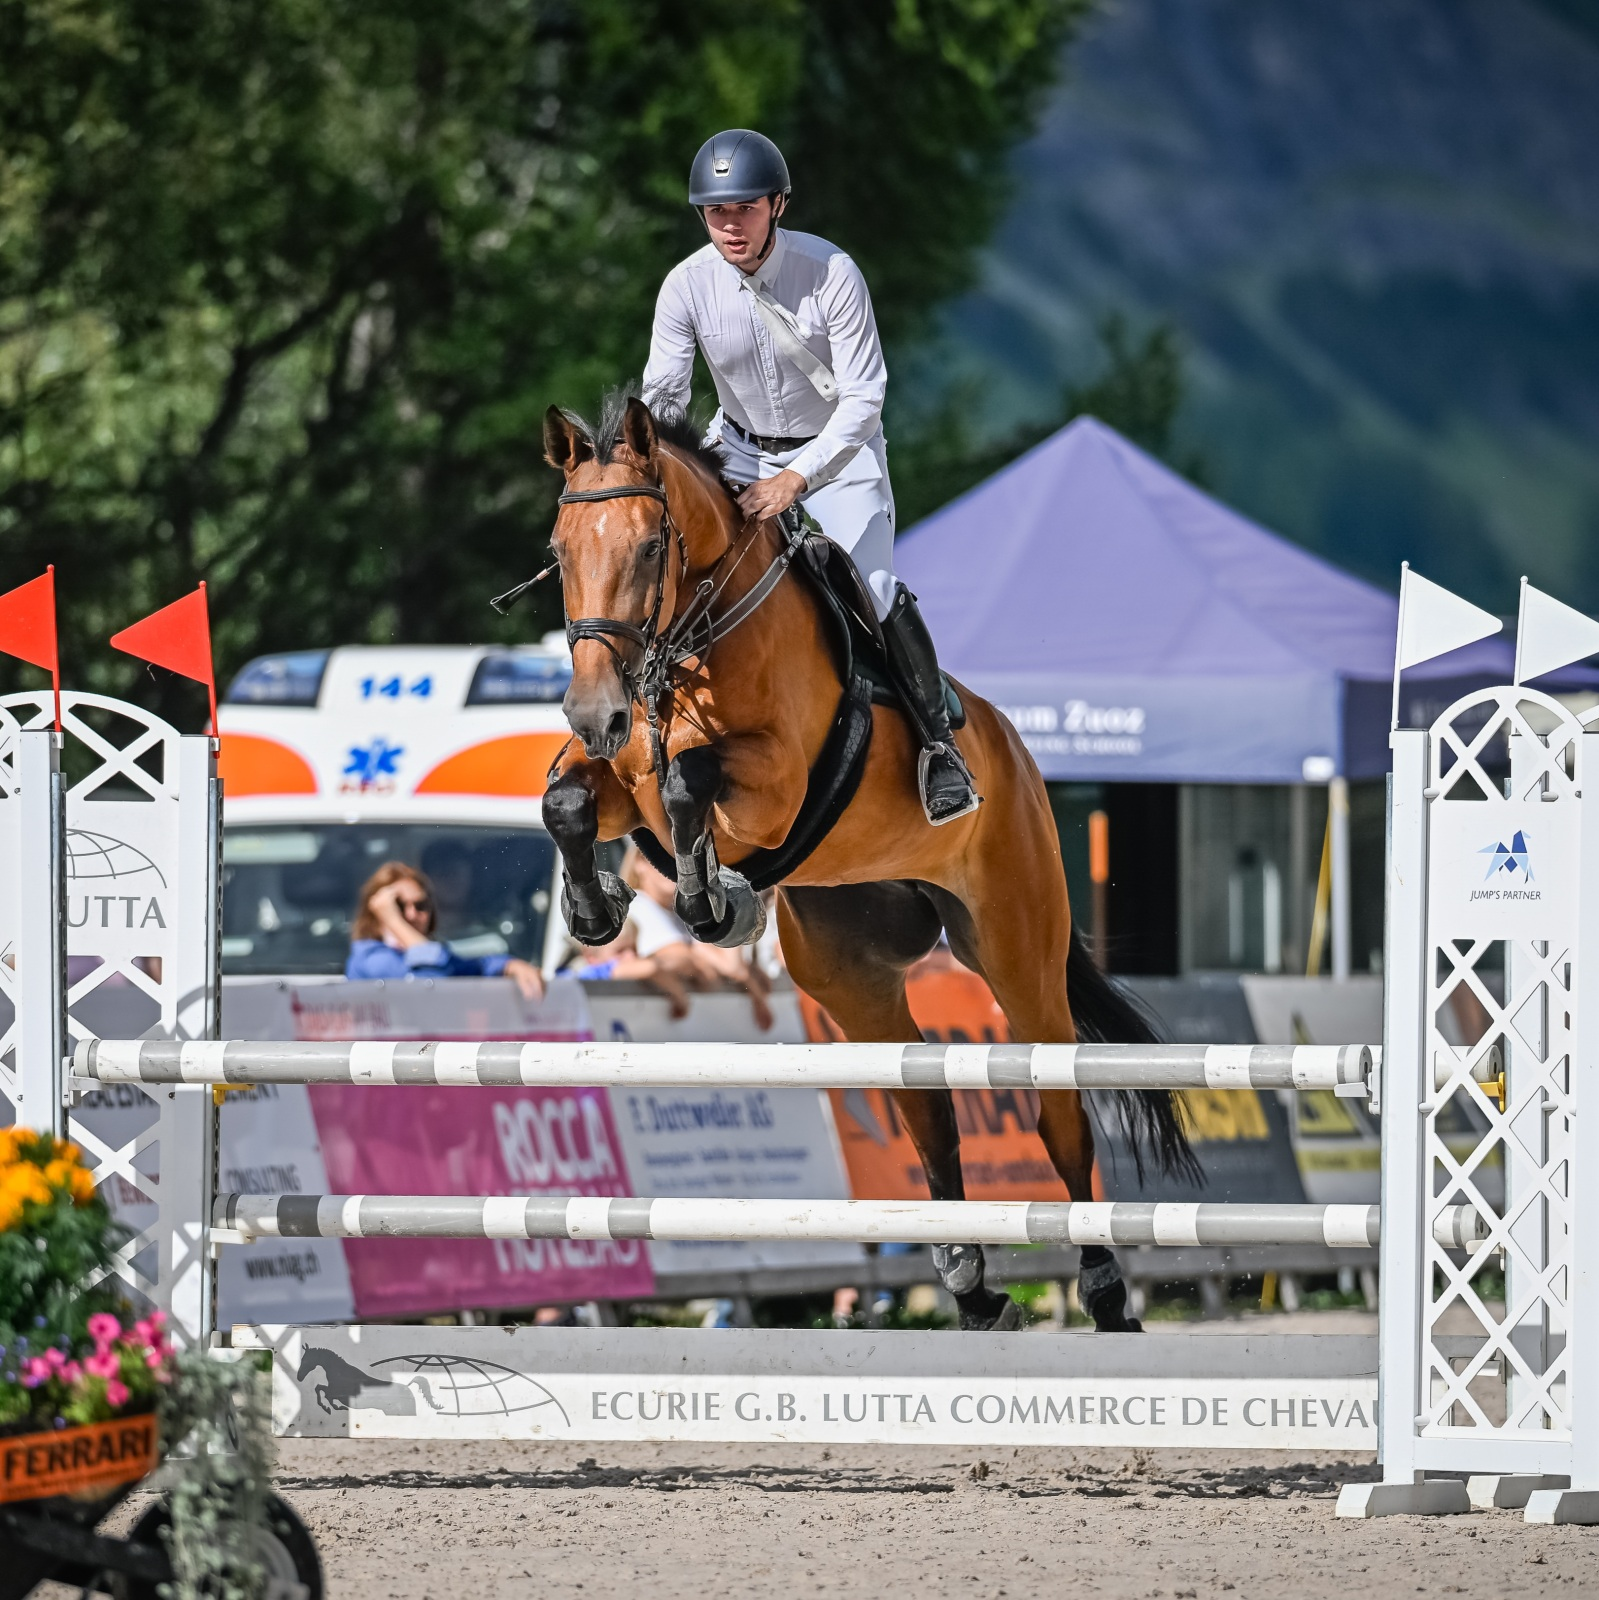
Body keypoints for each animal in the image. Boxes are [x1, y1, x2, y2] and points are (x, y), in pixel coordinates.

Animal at [538, 392, 1197, 1331]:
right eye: (560, 554)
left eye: (650, 548)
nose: (594, 712)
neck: (695, 642)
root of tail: (1016, 752)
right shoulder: (621, 775)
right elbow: (568, 798)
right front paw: (594, 908)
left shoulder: (770, 787)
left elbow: (689, 781)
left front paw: (713, 899)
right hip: (851, 973)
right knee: (926, 1106)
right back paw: (972, 1287)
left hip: (1015, 945)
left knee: (1058, 1110)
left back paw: (1105, 1292)